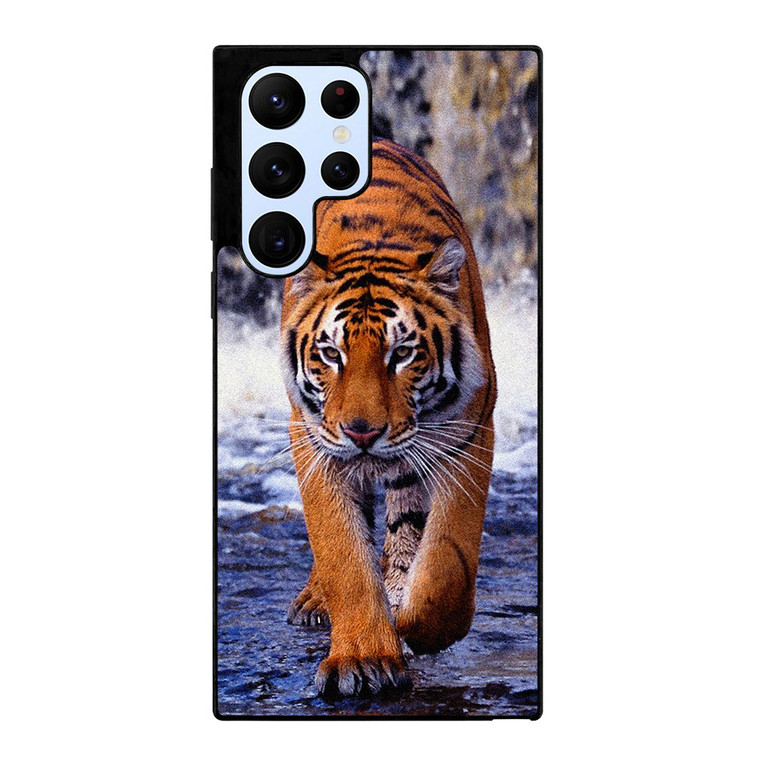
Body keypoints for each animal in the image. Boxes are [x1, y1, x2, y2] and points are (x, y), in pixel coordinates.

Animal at [280, 138, 497, 698]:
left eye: (402, 354)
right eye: (330, 354)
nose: (362, 432)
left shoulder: (467, 435)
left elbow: (446, 563)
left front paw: (416, 626)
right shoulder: (315, 442)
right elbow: (342, 553)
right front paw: (363, 659)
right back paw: (317, 600)